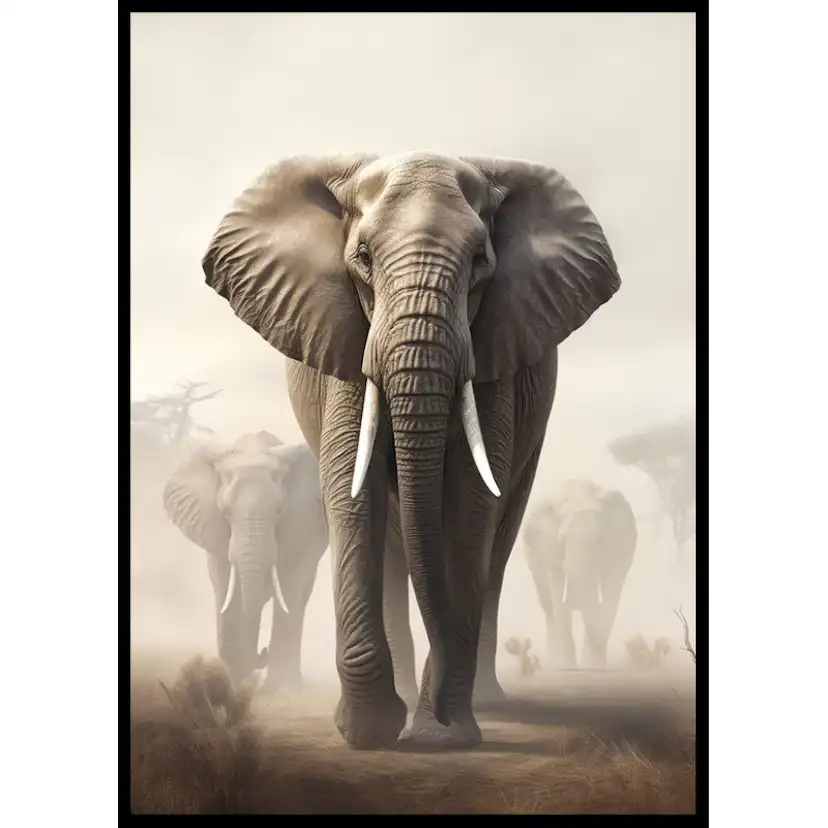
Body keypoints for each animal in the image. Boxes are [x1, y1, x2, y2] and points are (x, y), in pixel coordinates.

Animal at [162, 430, 329, 691]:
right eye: (225, 512)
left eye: (279, 511)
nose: (262, 653)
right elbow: (225, 590)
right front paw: (231, 682)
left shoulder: (300, 526)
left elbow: (289, 587)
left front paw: (280, 688)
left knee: (300, 599)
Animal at [199, 151, 621, 749]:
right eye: (363, 258)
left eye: (480, 261)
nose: (439, 718)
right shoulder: (346, 342)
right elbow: (352, 492)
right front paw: (371, 732)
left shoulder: (495, 351)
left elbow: (472, 503)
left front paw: (447, 735)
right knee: (396, 548)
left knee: (498, 545)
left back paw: (484, 704)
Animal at [523, 480, 638, 670]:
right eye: (562, 539)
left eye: (599, 540)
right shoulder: (550, 549)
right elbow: (558, 595)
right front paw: (568, 668)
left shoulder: (619, 550)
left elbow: (610, 596)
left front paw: (595, 668)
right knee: (549, 609)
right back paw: (555, 663)